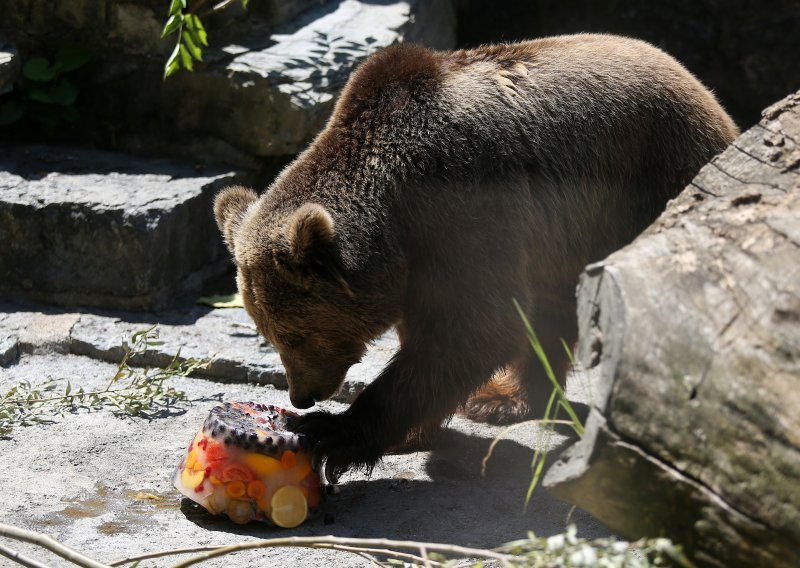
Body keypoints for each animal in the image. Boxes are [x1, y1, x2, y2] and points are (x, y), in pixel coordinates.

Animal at [212, 34, 736, 480]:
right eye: (268, 333)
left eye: (294, 333)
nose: (301, 396)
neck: (396, 204)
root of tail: (713, 102)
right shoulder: (422, 257)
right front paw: (411, 432)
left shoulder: (464, 205)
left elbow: (476, 329)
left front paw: (334, 433)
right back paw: (502, 399)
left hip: (650, 183)